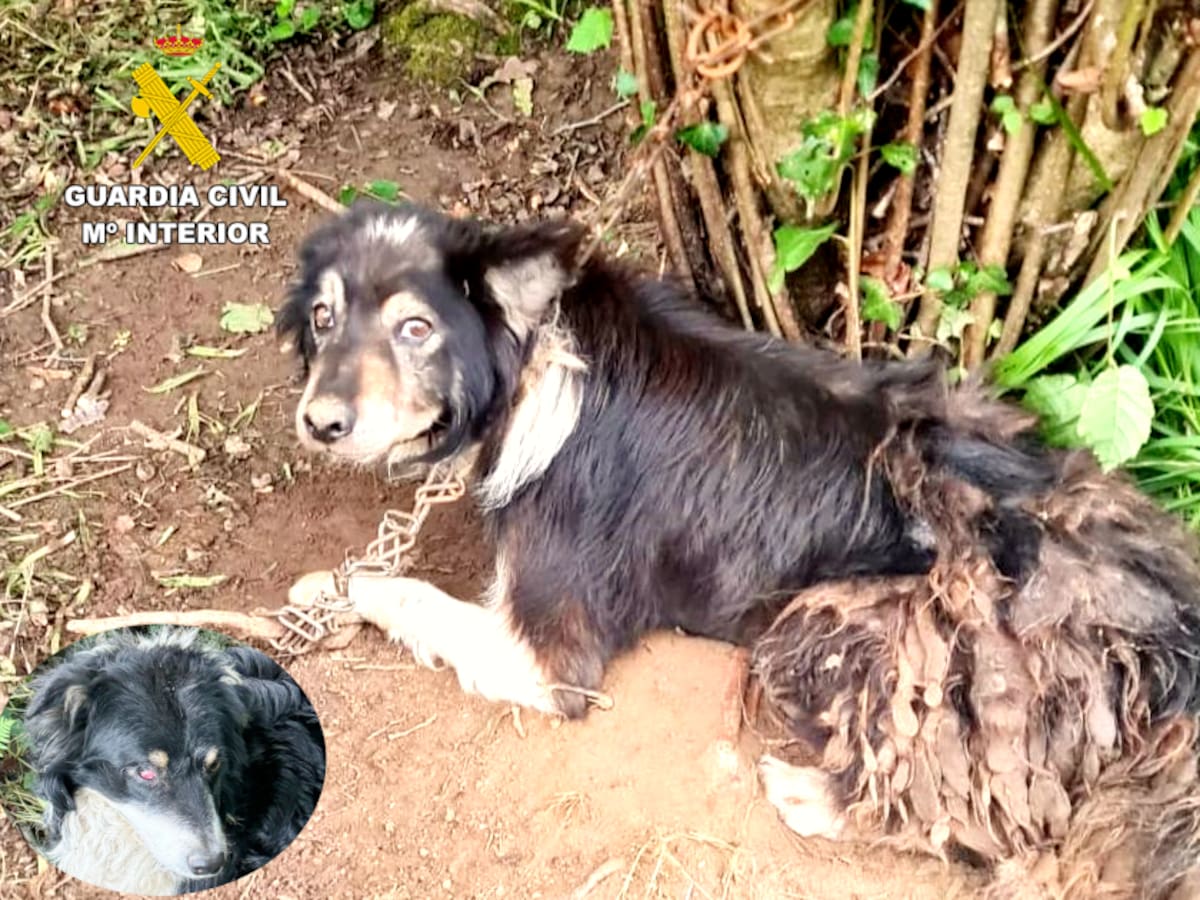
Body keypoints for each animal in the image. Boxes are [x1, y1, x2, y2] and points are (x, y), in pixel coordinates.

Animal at [280, 202, 1200, 896]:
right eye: (323, 318)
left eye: (415, 328)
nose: (318, 422)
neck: (540, 364)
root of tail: (1163, 628)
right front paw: (323, 588)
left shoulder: (545, 656)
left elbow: (409, 593)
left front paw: (346, 591)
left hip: (858, 625)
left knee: (986, 821)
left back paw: (814, 794)